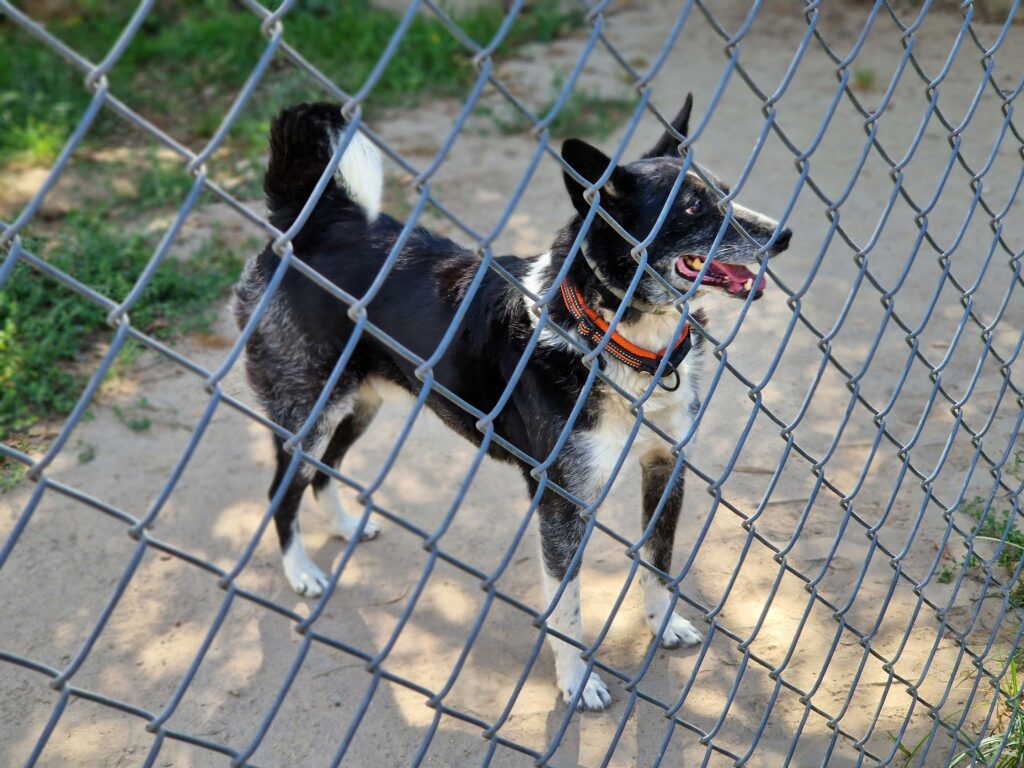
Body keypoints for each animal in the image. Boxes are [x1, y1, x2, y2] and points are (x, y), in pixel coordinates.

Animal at [234, 99, 790, 712]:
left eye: (725, 191)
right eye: (690, 207)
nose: (784, 234)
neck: (615, 338)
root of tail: (308, 220)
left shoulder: (665, 467)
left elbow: (658, 562)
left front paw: (663, 625)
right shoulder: (561, 503)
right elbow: (567, 608)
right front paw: (577, 682)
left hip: (360, 403)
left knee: (322, 469)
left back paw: (343, 525)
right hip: (307, 405)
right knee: (282, 487)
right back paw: (301, 571)